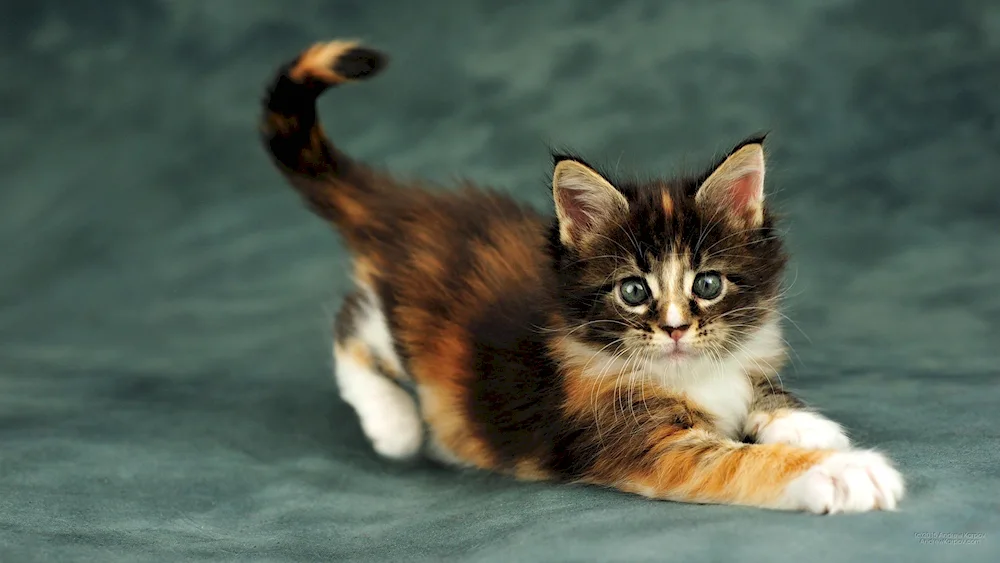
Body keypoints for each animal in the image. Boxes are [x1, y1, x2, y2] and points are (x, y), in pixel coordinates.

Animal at [262, 40, 904, 516]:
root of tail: (411, 208)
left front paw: (809, 426)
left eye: (707, 285)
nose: (675, 330)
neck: (689, 372)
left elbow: (763, 393)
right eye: (634, 291)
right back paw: (392, 424)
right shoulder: (641, 441)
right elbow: (738, 460)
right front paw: (846, 472)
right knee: (354, 322)